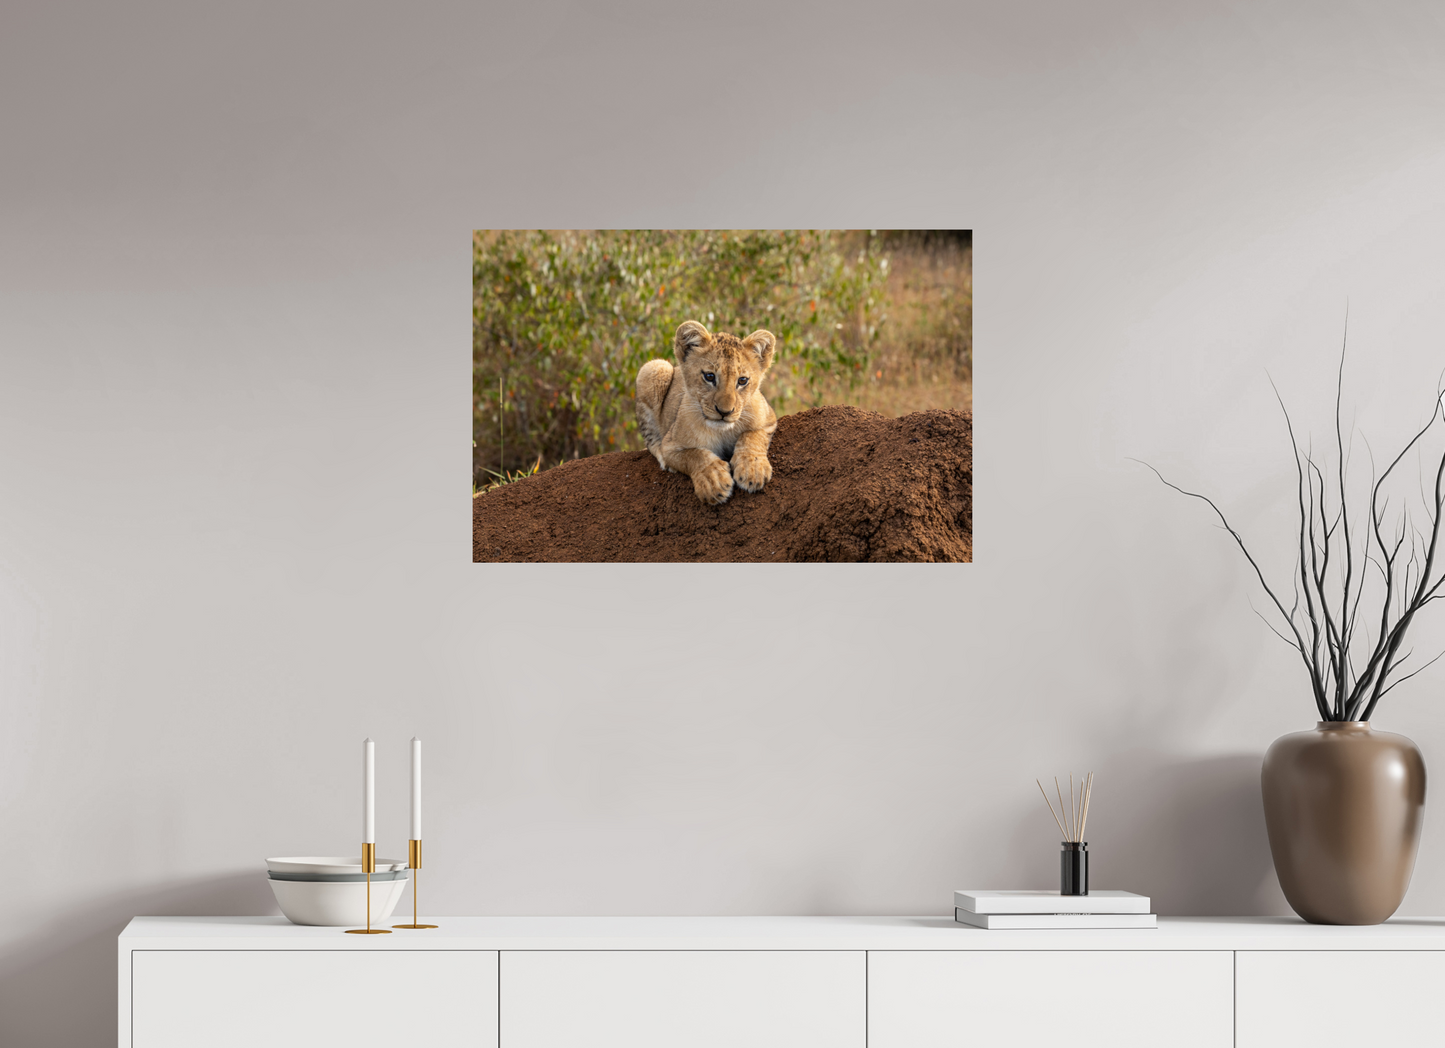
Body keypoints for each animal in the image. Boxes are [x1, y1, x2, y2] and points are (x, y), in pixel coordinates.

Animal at [635, 320, 778, 505]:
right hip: (654, 368)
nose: (725, 412)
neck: (722, 431)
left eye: (742, 380)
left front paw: (752, 469)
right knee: (650, 438)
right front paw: (714, 480)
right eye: (709, 377)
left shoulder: (769, 418)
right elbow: (695, 455)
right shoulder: (671, 446)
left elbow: (752, 436)